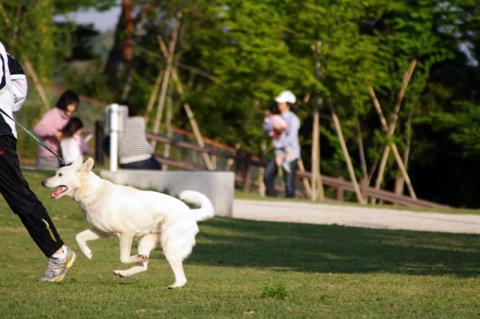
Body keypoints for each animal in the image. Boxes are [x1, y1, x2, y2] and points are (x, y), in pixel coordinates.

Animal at [41, 156, 214, 288]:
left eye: (60, 175)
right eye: (56, 173)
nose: (42, 182)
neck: (93, 193)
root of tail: (190, 213)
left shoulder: (126, 233)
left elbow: (123, 257)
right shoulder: (101, 231)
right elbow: (79, 237)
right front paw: (88, 253)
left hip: (168, 246)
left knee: (180, 277)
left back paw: (173, 285)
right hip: (145, 241)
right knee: (143, 266)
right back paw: (124, 272)